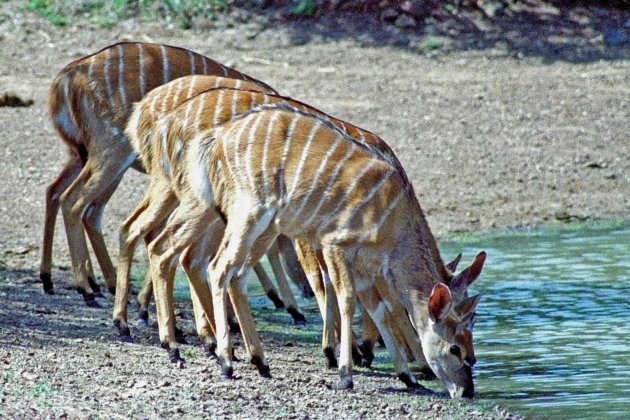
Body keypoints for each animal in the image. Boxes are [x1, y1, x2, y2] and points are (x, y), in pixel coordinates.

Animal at [43, 41, 312, 308]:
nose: (307, 289)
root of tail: (67, 76)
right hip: (112, 151)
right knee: (75, 201)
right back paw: (87, 289)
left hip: (84, 155)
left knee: (60, 194)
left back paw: (61, 280)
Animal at [126, 83, 486, 398]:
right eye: (455, 348)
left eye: (472, 350)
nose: (467, 391)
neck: (395, 215)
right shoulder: (334, 243)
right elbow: (345, 297)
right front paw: (346, 371)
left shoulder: (366, 266)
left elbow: (379, 308)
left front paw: (406, 376)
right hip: (243, 212)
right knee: (210, 264)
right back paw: (216, 357)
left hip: (242, 219)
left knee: (199, 261)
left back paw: (250, 359)